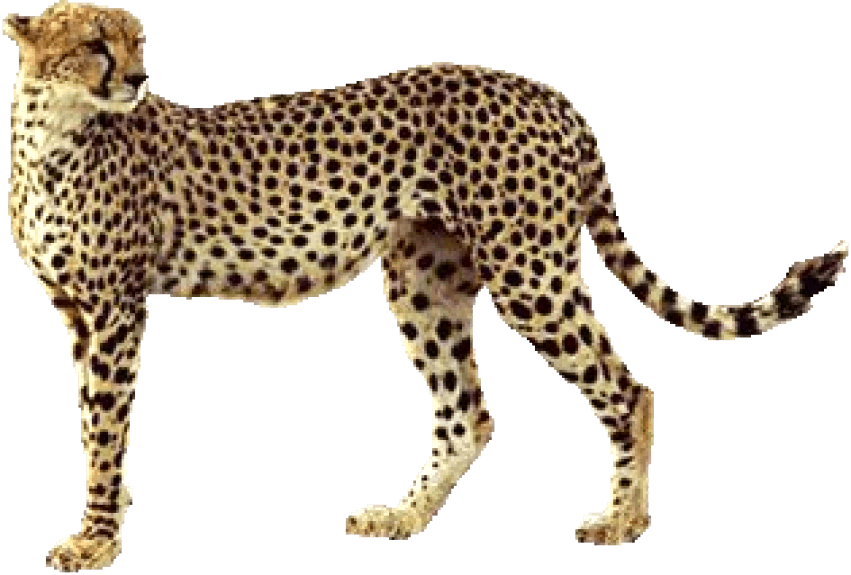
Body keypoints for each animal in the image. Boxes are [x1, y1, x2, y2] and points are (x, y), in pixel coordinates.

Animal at [4, 1, 847, 572]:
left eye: (135, 42)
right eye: (95, 45)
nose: (138, 78)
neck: (51, 131)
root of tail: (548, 93)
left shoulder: (115, 309)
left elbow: (101, 426)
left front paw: (96, 536)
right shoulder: (79, 312)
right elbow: (95, 422)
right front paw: (110, 511)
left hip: (528, 270)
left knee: (623, 385)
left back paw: (621, 520)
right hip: (424, 281)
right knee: (467, 412)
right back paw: (401, 517)